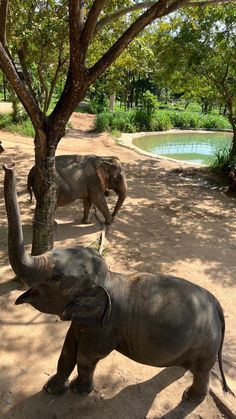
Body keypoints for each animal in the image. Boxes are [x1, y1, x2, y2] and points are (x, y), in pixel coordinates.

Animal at [3, 163, 232, 404]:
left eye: (56, 277)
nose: (9, 166)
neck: (110, 278)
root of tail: (217, 306)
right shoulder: (84, 320)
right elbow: (67, 351)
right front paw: (51, 389)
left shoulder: (106, 325)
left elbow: (87, 356)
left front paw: (78, 390)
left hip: (205, 344)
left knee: (202, 370)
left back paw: (190, 398)